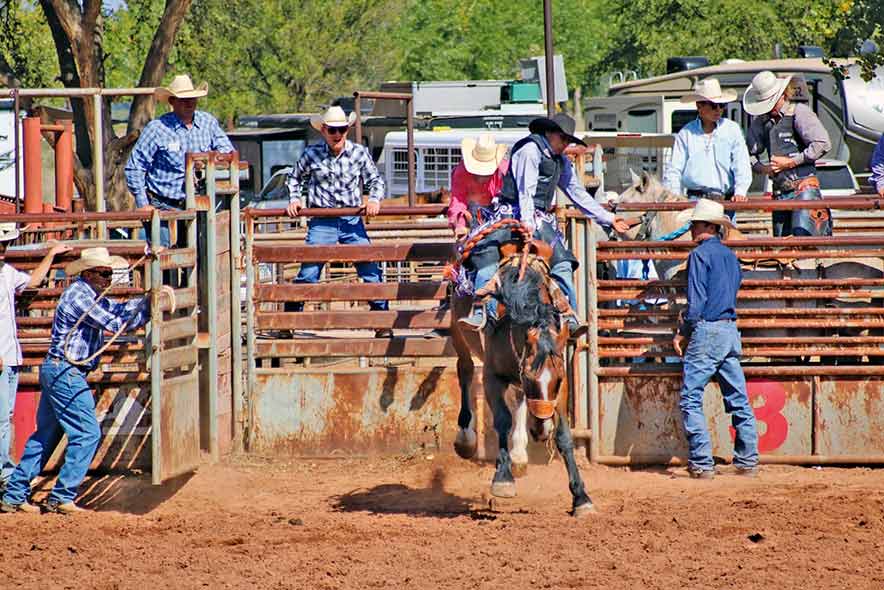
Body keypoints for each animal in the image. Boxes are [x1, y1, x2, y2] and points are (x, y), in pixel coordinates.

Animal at [448, 219, 592, 520]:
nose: (541, 430)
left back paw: (519, 454)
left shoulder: (560, 384)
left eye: (557, 381)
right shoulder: (493, 376)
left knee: (518, 401)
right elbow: (502, 419)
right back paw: (466, 438)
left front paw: (581, 497)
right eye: (529, 378)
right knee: (465, 371)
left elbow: (564, 436)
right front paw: (503, 480)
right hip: (458, 331)